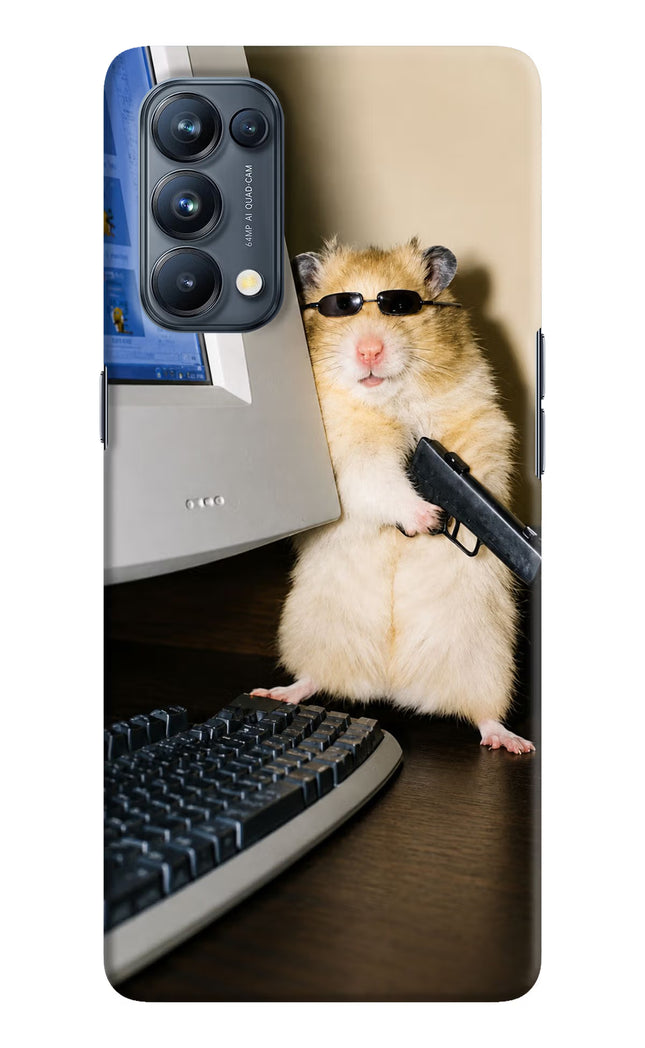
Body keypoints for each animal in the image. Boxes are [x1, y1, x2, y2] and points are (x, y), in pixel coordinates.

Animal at [252, 238, 534, 754]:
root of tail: (393, 686)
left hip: (488, 661)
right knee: (313, 678)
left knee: (484, 714)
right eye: (340, 307)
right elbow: (380, 481)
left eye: (401, 306)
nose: (369, 350)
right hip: (311, 632)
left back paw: (512, 742)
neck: (389, 401)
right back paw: (276, 692)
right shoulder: (348, 458)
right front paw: (428, 518)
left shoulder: (480, 424)